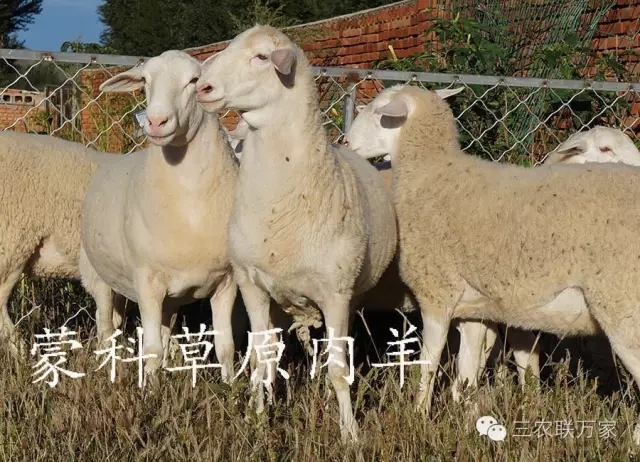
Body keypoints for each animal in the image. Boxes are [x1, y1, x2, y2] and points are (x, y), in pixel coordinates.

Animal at [79, 50, 240, 383]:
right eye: (144, 82)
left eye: (194, 81)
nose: (155, 120)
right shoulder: (146, 279)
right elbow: (150, 348)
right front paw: (150, 391)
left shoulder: (227, 281)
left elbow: (225, 347)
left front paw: (233, 388)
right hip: (100, 275)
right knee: (105, 326)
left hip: (170, 296)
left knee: (163, 332)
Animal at [195, 24, 397, 441]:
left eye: (261, 57)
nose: (202, 88)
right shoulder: (251, 285)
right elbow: (260, 358)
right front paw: (256, 418)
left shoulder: (336, 292)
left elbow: (339, 368)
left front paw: (349, 433)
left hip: (351, 292)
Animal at [343, 84, 640, 445]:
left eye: (379, 112)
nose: (346, 142)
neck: (432, 173)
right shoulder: (476, 311)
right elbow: (467, 376)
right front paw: (466, 425)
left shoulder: (437, 293)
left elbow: (429, 364)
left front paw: (417, 418)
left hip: (623, 307)